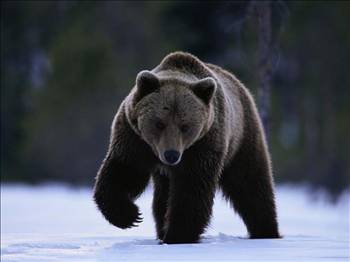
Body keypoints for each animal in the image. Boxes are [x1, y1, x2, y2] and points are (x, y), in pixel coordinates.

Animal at [92, 50, 278, 244]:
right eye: (159, 123)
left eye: (185, 126)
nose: (171, 155)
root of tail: (240, 85)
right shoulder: (134, 138)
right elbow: (124, 171)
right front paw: (129, 215)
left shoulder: (203, 145)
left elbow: (192, 189)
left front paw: (177, 235)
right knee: (162, 197)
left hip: (241, 138)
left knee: (250, 184)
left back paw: (266, 231)